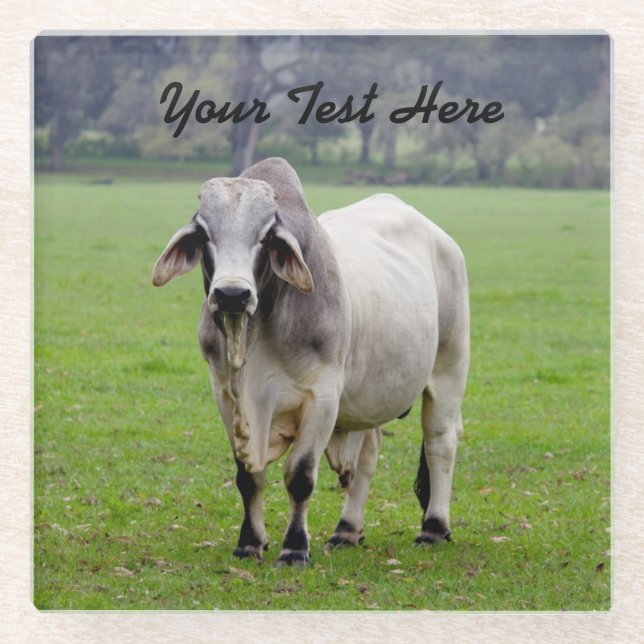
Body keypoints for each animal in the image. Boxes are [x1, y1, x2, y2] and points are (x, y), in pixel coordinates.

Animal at [152, 157, 469, 566]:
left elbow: (299, 477)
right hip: (369, 397)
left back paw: (434, 527)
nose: (232, 295)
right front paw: (250, 541)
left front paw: (294, 548)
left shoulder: (322, 396)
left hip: (449, 366)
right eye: (205, 232)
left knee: (440, 442)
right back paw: (348, 530)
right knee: (368, 456)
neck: (255, 336)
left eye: (266, 234)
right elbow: (248, 477)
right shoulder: (226, 396)